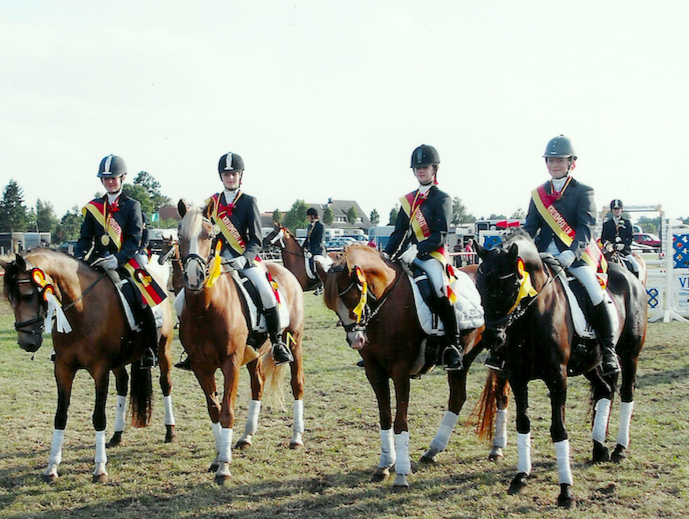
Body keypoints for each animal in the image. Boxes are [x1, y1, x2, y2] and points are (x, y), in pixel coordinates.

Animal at [0, 248, 177, 483]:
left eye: (28, 295)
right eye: (9, 299)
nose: (27, 343)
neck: (81, 310)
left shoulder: (100, 370)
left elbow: (98, 417)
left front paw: (100, 468)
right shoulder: (63, 369)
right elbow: (60, 416)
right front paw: (51, 467)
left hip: (163, 351)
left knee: (166, 385)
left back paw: (170, 431)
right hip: (119, 363)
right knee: (123, 385)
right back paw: (117, 435)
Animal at [176, 200, 305, 484]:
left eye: (209, 236)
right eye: (180, 236)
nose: (194, 277)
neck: (206, 308)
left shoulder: (231, 363)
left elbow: (227, 411)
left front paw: (224, 467)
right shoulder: (201, 367)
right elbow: (214, 410)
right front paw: (217, 458)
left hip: (294, 341)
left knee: (297, 384)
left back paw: (296, 439)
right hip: (254, 353)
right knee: (258, 386)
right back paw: (246, 437)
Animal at [318, 243, 503, 491]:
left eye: (354, 296)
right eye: (332, 306)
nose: (356, 340)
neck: (386, 302)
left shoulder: (400, 371)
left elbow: (400, 422)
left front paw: (401, 475)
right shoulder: (374, 372)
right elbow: (385, 418)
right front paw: (384, 466)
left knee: (501, 396)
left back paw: (497, 448)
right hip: (465, 358)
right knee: (458, 397)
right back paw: (433, 450)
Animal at [474, 230, 646, 507]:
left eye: (509, 287)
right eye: (479, 286)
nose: (492, 337)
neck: (531, 316)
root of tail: (630, 276)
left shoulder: (557, 379)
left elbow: (558, 430)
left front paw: (566, 491)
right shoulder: (518, 378)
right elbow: (523, 424)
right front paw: (520, 477)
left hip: (629, 355)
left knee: (627, 394)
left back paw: (619, 449)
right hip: (591, 364)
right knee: (605, 390)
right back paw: (599, 449)